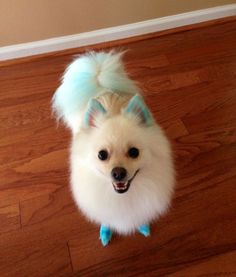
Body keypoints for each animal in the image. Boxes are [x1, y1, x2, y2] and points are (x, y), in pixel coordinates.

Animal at [52, 50, 174, 245]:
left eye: (134, 152)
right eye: (102, 155)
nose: (118, 173)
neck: (122, 197)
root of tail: (102, 88)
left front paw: (143, 226)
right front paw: (105, 232)